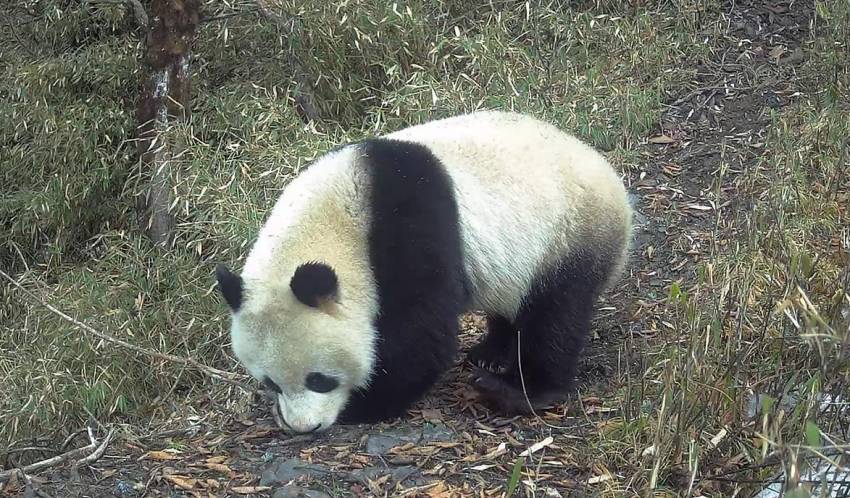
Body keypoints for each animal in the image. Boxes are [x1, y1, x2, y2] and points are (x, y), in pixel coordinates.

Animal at [217, 109, 628, 432]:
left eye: (319, 380)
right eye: (271, 382)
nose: (305, 427)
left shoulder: (410, 226)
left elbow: (423, 332)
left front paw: (366, 404)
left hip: (568, 234)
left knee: (555, 315)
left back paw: (517, 390)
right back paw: (491, 353)